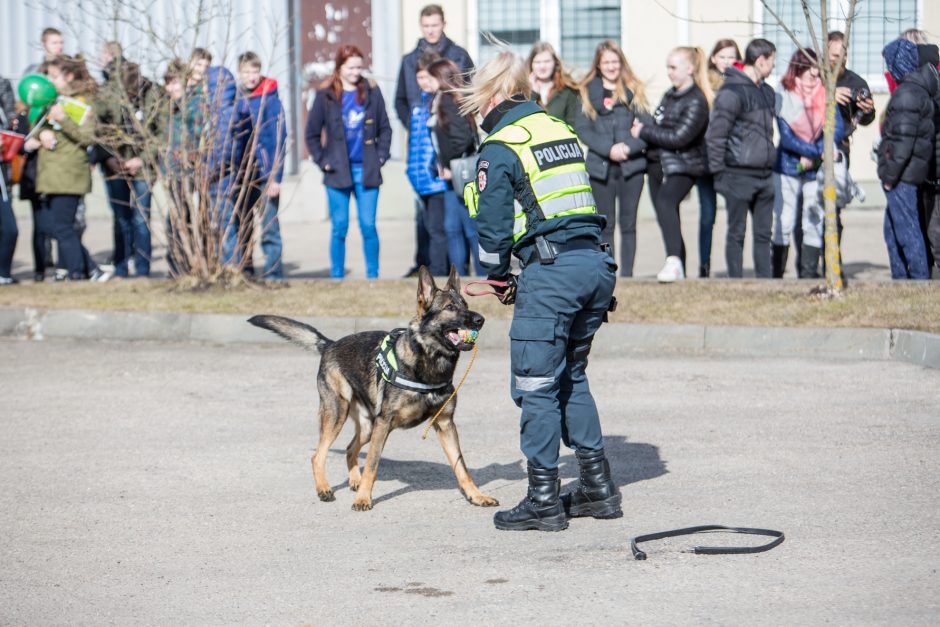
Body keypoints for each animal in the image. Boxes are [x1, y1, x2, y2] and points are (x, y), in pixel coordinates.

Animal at [248, 268, 500, 512]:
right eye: (450, 308)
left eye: (465, 304)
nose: (480, 319)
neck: (426, 364)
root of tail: (330, 344)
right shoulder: (384, 424)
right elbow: (371, 464)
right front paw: (363, 500)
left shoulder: (445, 424)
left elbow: (461, 466)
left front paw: (476, 496)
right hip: (339, 414)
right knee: (318, 455)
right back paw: (324, 489)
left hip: (368, 426)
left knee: (350, 449)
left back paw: (354, 481)